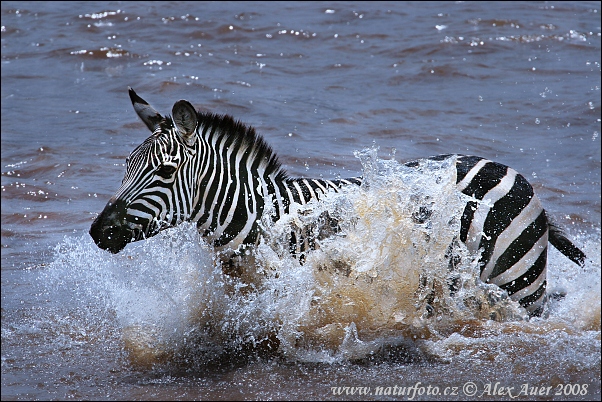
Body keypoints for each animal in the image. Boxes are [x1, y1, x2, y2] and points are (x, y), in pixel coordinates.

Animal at [89, 88, 580, 318]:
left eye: (165, 172)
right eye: (126, 165)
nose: (98, 232)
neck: (259, 216)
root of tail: (510, 169)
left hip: (520, 285)